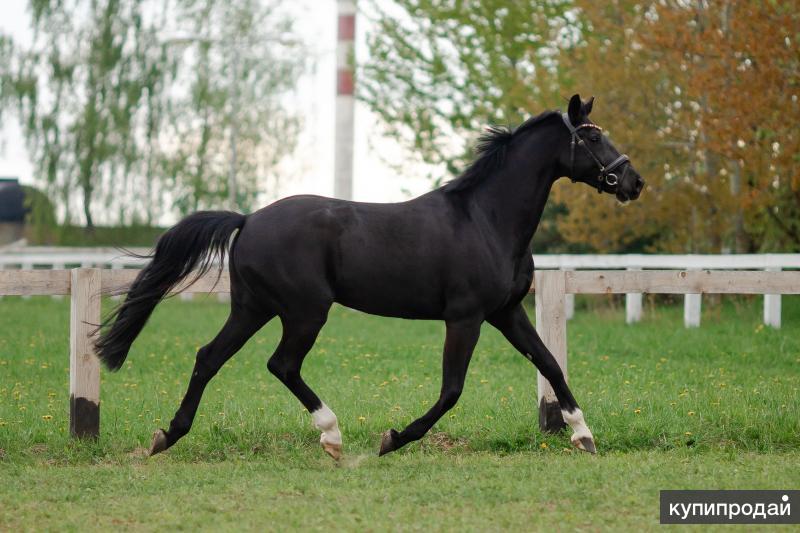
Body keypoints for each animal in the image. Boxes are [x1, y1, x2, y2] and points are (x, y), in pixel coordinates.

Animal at [95, 94, 644, 458]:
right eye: (593, 136)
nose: (633, 181)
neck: (486, 219)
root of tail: (247, 219)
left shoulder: (506, 312)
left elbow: (550, 364)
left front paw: (584, 434)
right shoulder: (465, 318)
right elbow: (452, 389)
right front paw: (392, 438)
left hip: (254, 307)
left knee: (209, 357)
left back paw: (167, 435)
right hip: (304, 311)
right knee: (281, 364)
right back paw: (332, 434)